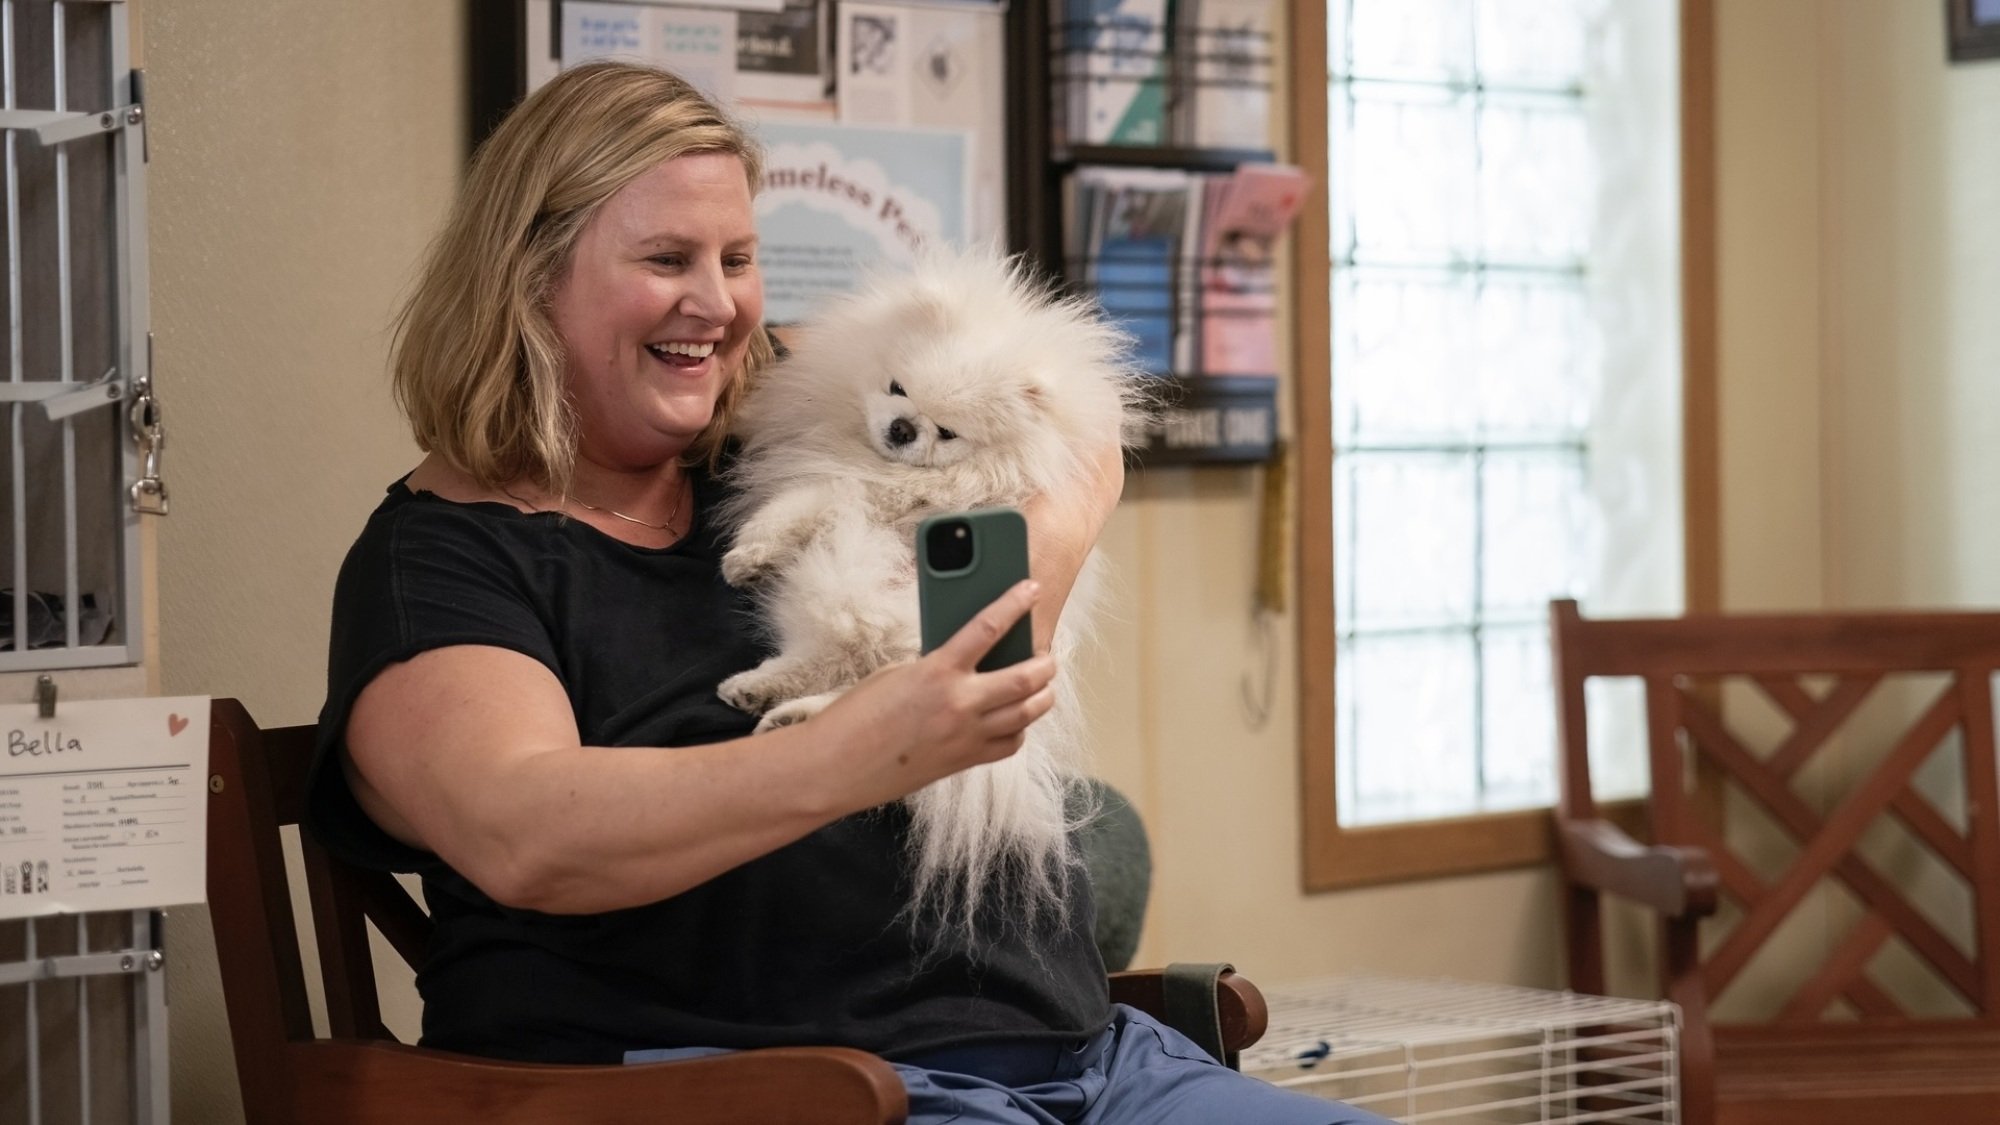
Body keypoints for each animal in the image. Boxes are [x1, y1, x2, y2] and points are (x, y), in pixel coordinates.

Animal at [724, 247, 1152, 936]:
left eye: (947, 431)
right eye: (897, 389)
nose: (903, 428)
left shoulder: (860, 494)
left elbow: (806, 502)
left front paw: (746, 551)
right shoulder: (843, 478)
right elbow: (796, 505)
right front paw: (750, 555)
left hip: (854, 595)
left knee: (865, 681)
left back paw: (788, 709)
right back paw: (767, 698)